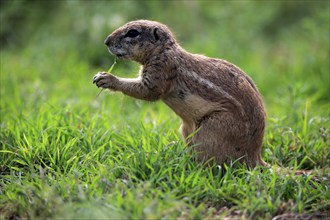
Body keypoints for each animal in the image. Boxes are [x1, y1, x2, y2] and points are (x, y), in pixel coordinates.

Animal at [92, 20, 266, 167]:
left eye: (133, 33)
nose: (106, 41)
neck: (164, 51)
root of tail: (254, 155)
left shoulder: (161, 70)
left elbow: (148, 92)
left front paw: (107, 78)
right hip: (186, 130)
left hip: (210, 131)